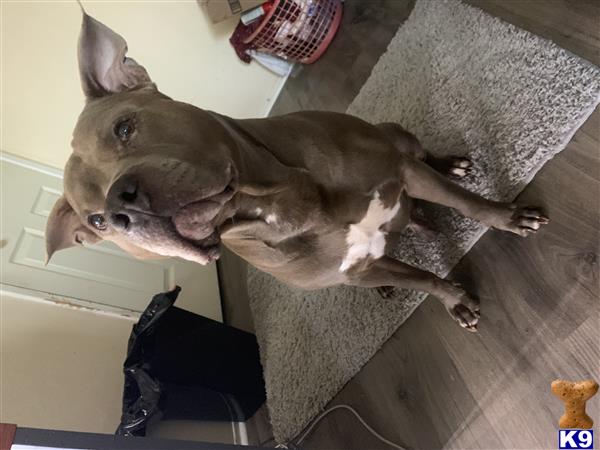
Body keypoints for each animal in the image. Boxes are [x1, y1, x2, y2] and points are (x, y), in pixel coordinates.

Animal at [47, 11, 548, 334]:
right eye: (96, 222)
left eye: (124, 127)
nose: (120, 206)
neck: (284, 206)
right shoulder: (357, 269)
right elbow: (423, 278)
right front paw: (455, 301)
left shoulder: (400, 172)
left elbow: (471, 206)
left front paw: (509, 217)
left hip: (397, 137)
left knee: (423, 160)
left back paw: (446, 172)